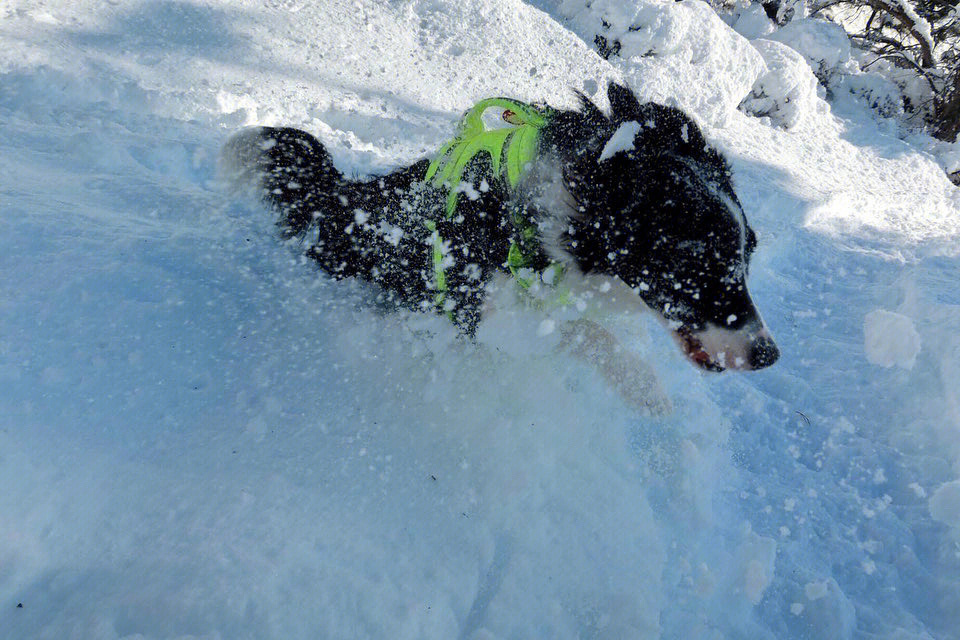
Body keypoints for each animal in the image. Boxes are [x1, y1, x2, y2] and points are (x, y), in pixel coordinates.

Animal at [225, 82, 780, 372]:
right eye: (694, 259)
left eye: (747, 255)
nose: (768, 355)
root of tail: (337, 195)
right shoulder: (471, 304)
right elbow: (583, 334)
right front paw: (646, 391)